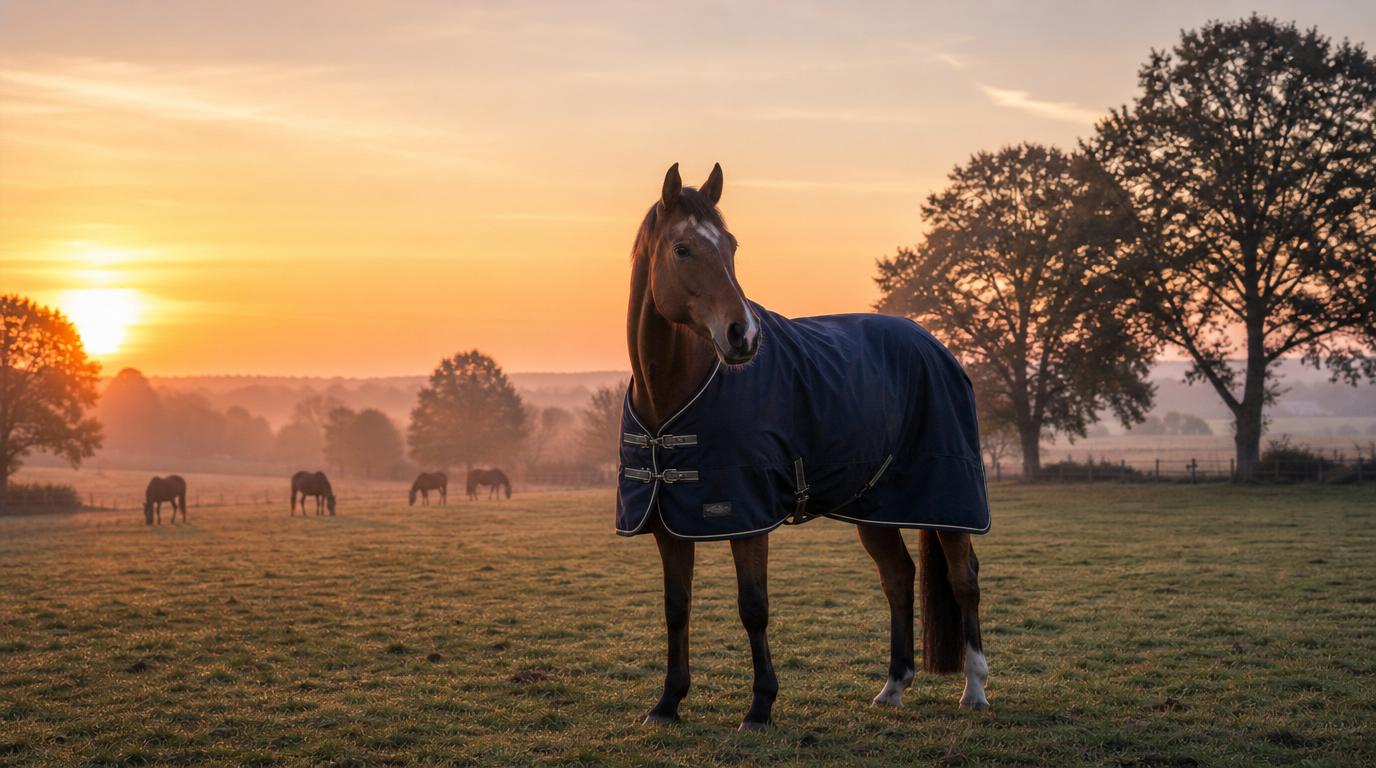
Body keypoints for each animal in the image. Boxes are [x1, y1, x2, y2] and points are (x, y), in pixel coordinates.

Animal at [619, 164, 990, 731]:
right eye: (682, 249)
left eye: (731, 246)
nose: (743, 335)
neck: (674, 394)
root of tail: (936, 346)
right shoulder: (669, 520)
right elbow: (676, 607)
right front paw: (667, 703)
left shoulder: (746, 518)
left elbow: (754, 607)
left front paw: (760, 707)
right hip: (874, 506)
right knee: (898, 577)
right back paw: (893, 686)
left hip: (949, 501)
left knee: (963, 578)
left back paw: (975, 689)